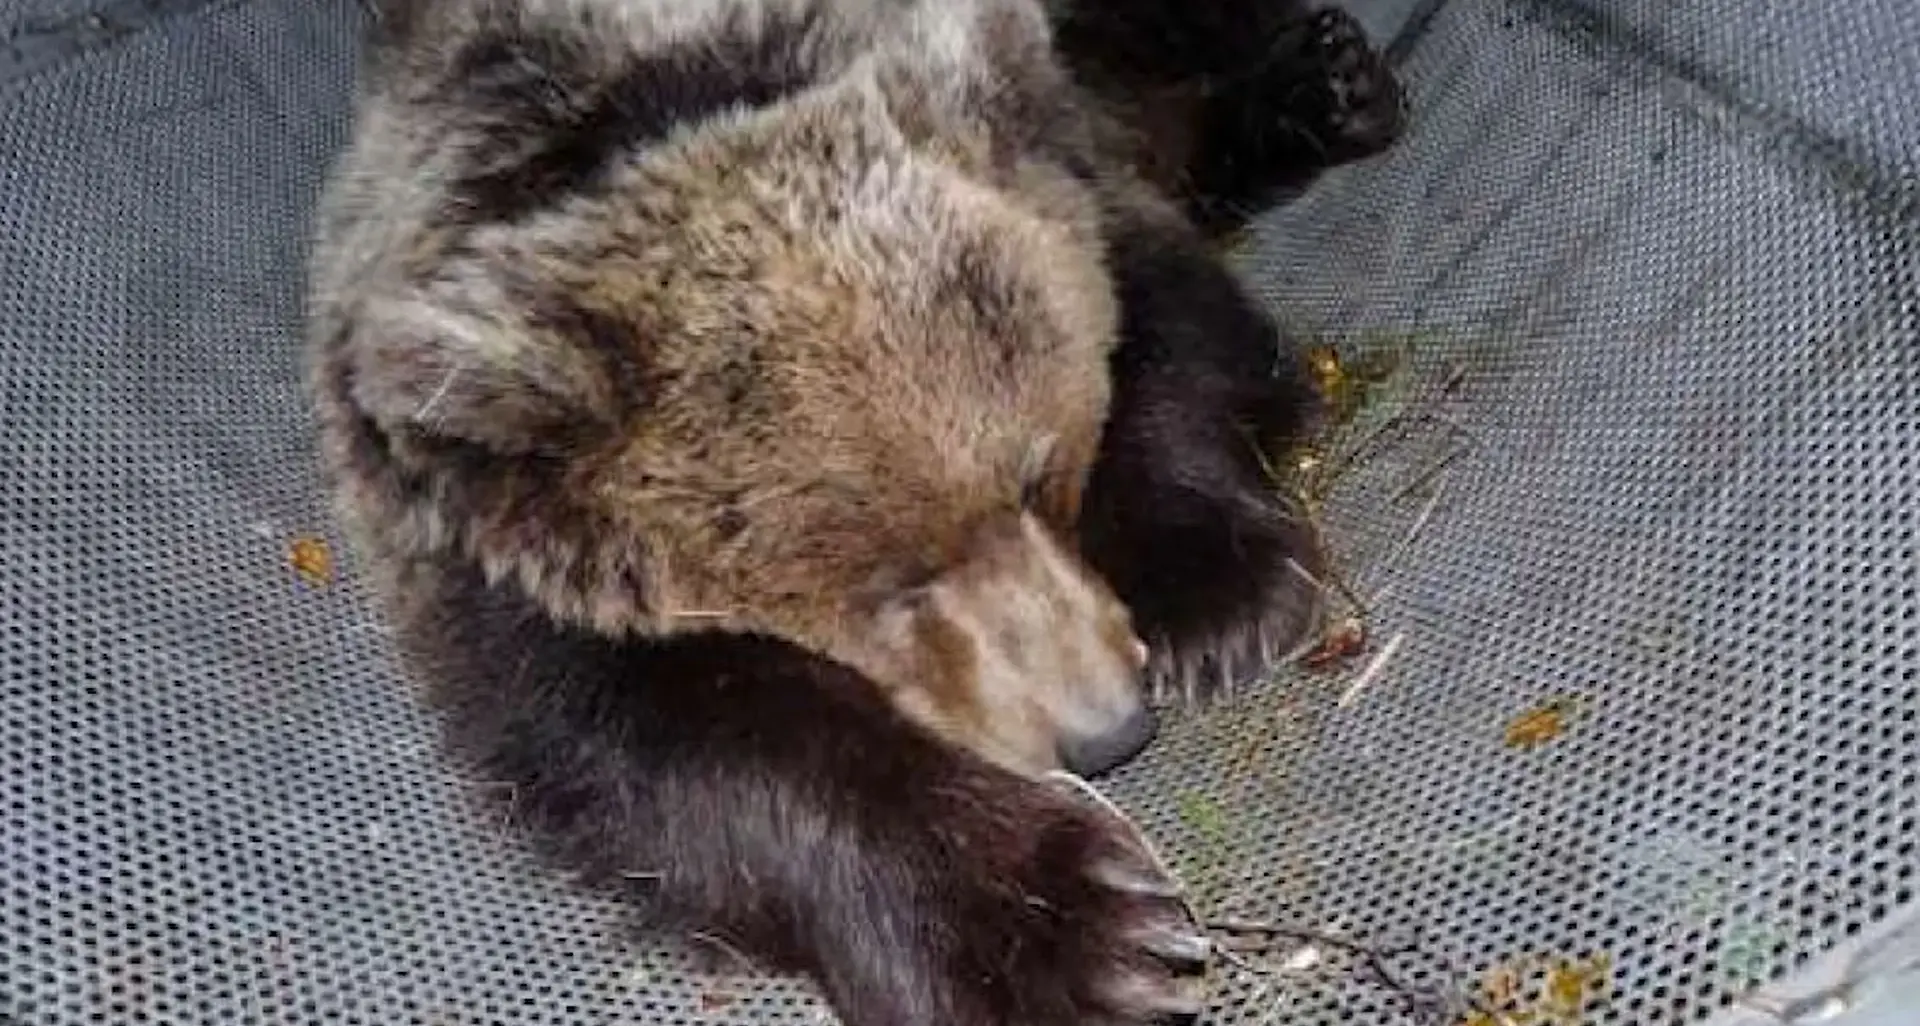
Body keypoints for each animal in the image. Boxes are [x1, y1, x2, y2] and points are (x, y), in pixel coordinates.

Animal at [302, 0, 1404, 1021]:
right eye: (887, 587)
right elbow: (651, 739)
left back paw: (1329, 86)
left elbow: (1164, 321)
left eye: (1040, 473)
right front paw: (1075, 934)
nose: (1107, 731)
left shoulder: (1059, 171)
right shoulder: (487, 556)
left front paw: (1213, 602)